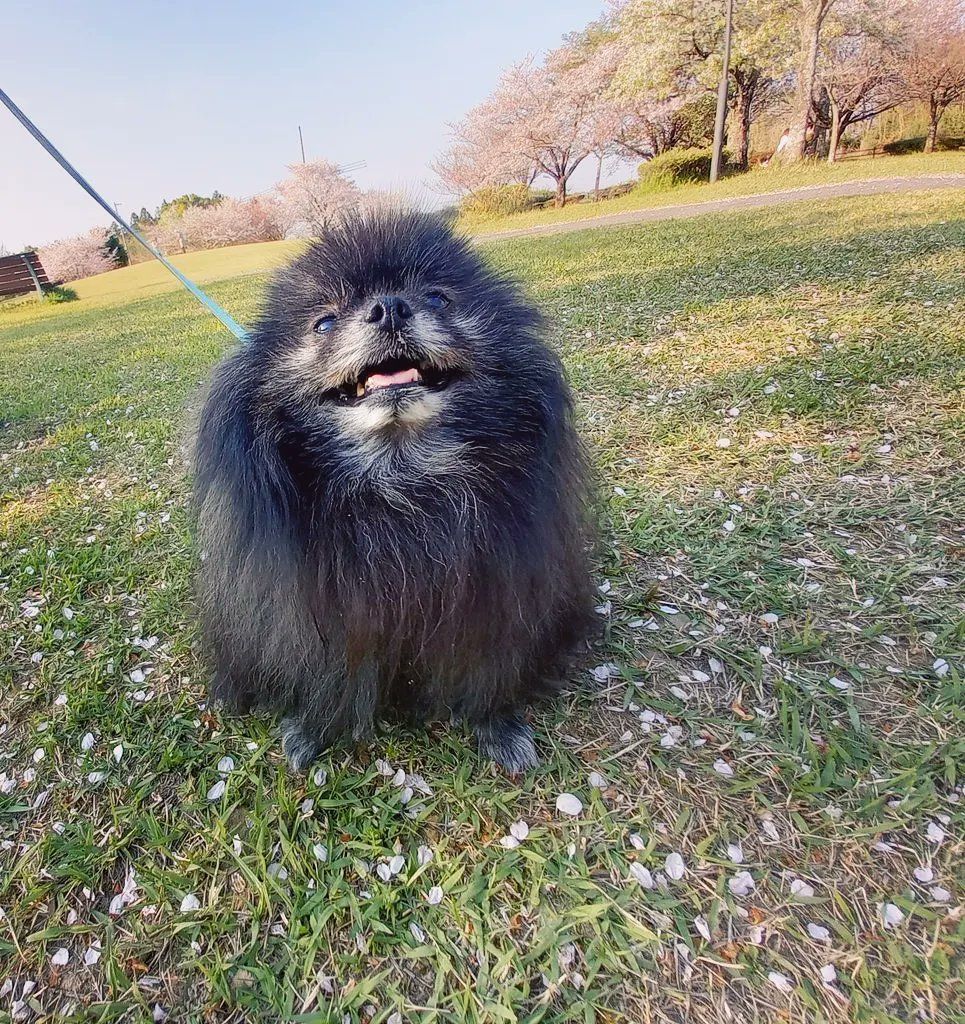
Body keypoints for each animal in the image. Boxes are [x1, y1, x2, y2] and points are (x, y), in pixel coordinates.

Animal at [192, 207, 594, 770]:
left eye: (437, 298)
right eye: (324, 322)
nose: (389, 309)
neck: (400, 481)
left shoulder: (495, 590)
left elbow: (487, 667)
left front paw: (496, 725)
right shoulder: (318, 611)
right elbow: (322, 671)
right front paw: (314, 730)